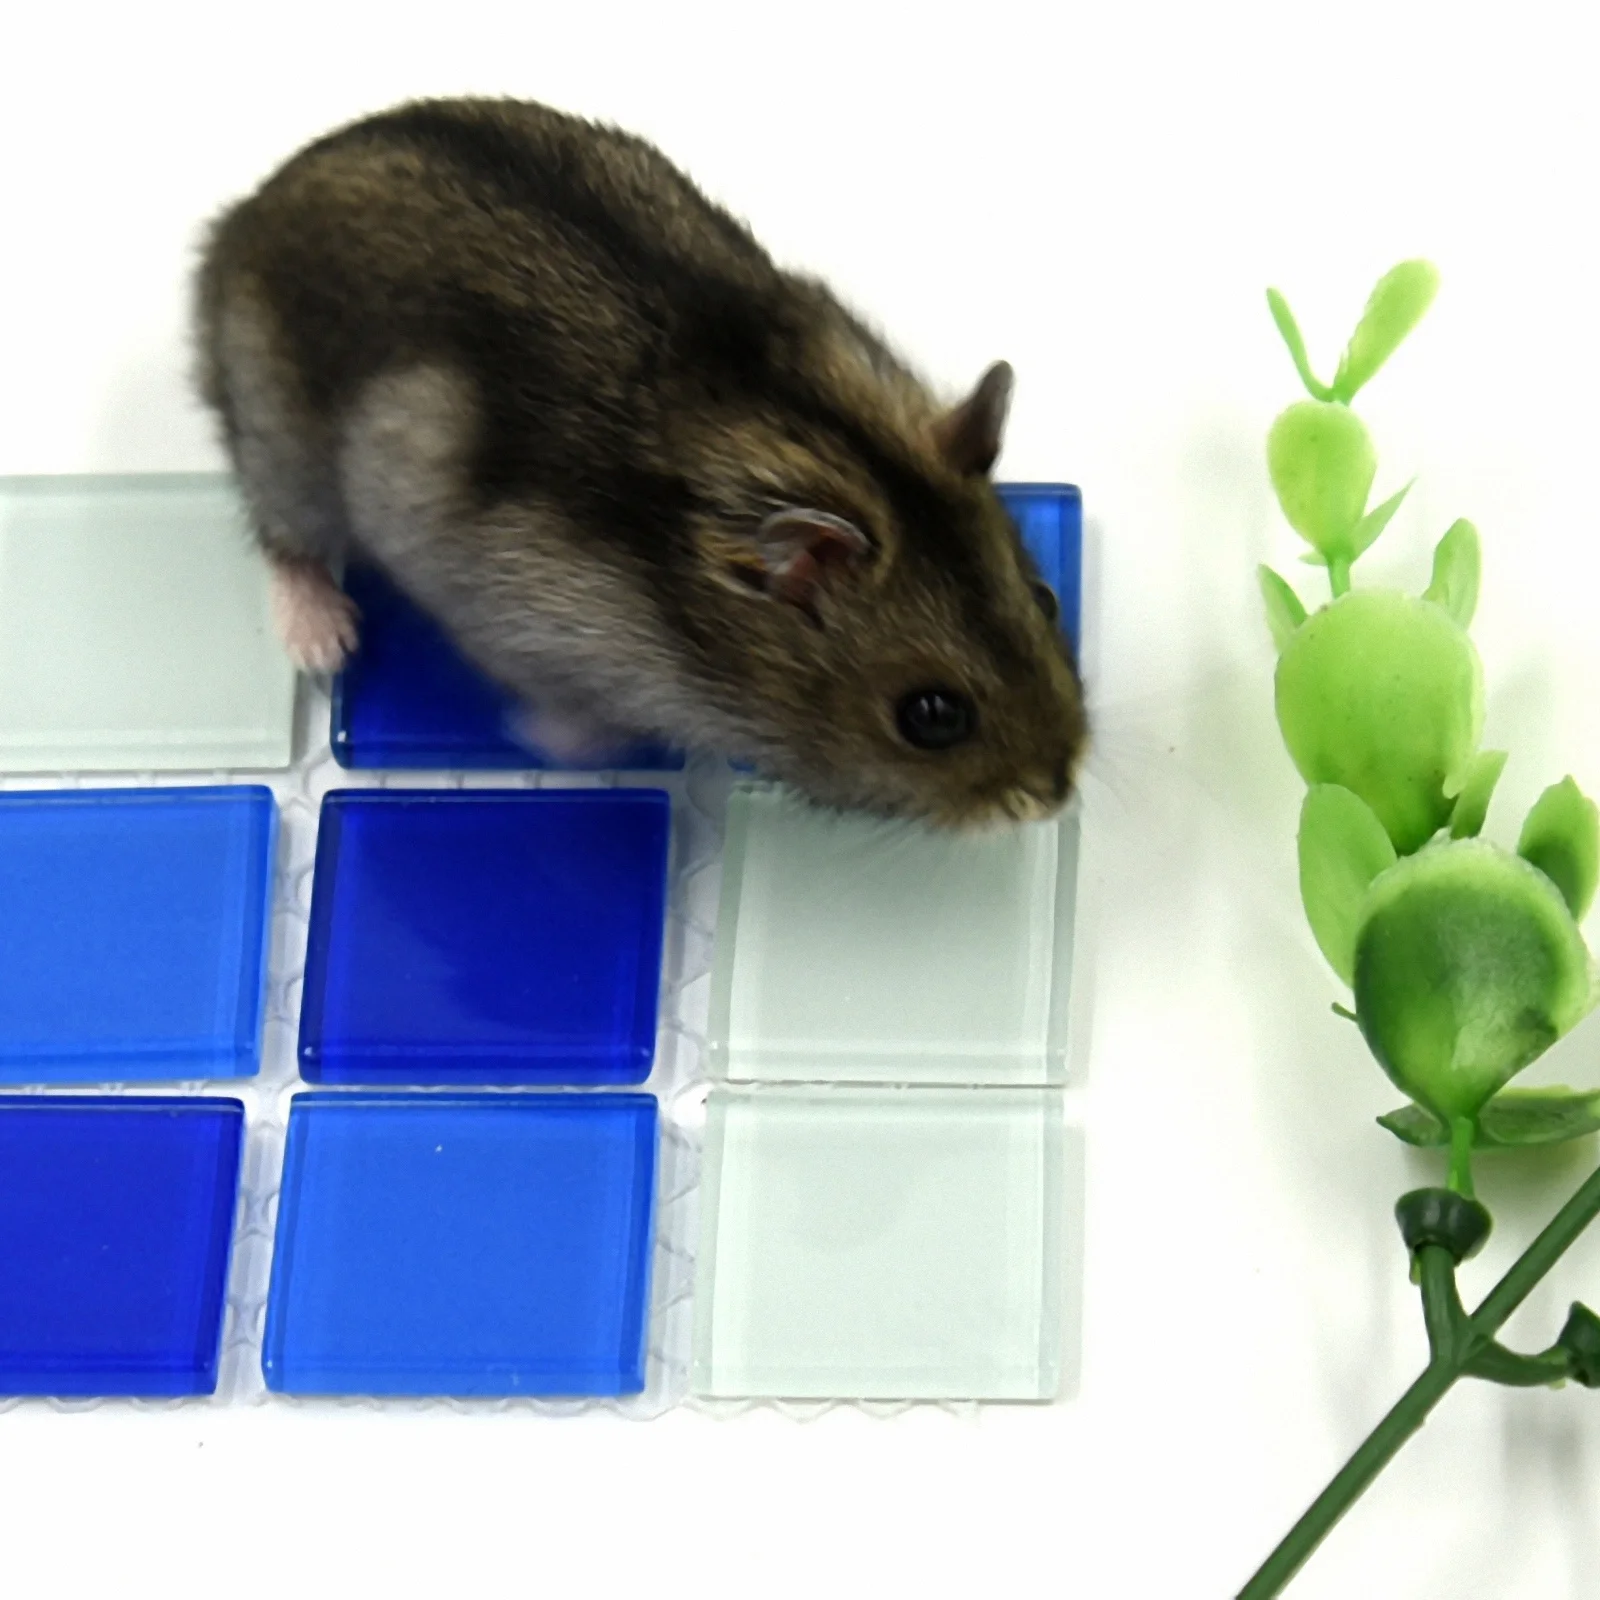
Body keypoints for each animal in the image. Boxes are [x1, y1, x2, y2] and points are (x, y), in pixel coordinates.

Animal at [194, 97, 1086, 825]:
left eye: (1045, 600)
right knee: (284, 538)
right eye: (932, 717)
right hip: (278, 431)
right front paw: (535, 734)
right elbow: (583, 730)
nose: (1059, 789)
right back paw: (326, 639)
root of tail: (236, 223)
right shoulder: (531, 626)